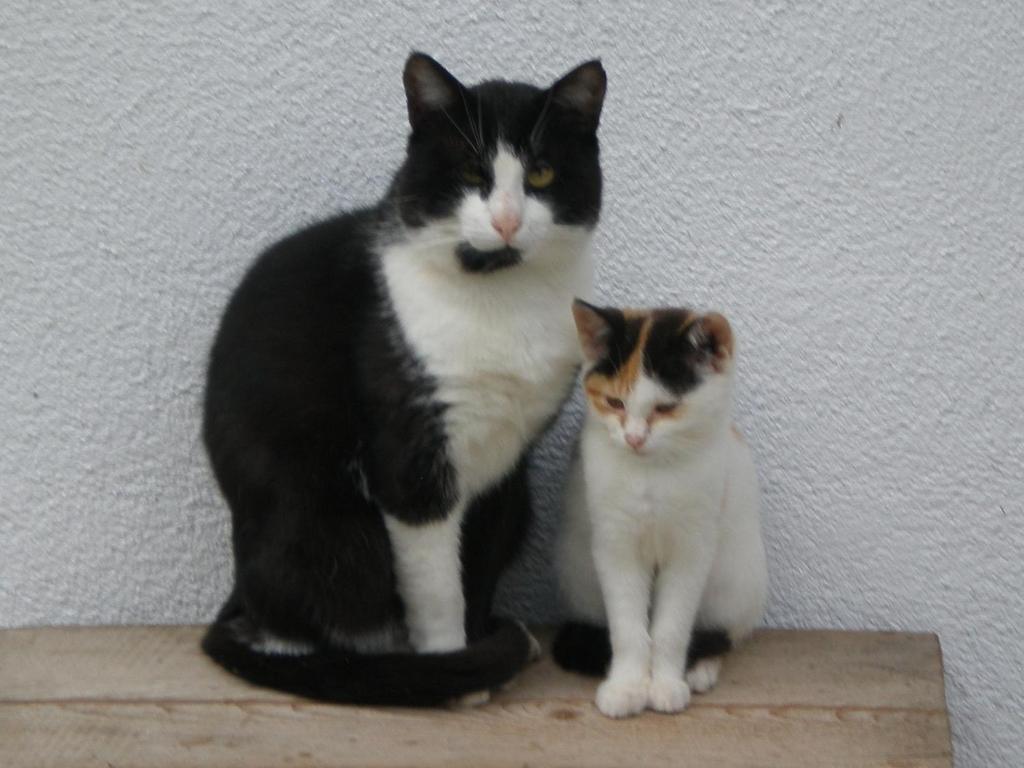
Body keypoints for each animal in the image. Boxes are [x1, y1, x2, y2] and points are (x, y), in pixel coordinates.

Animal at [201, 52, 606, 704]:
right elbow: (437, 585)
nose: (507, 219)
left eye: (542, 173)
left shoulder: (504, 466)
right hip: (325, 532)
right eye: (470, 170)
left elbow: (477, 563)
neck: (503, 294)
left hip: (522, 500)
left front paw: (477, 650)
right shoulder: (409, 456)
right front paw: (450, 671)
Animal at [557, 303, 765, 720]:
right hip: (578, 572)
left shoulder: (693, 546)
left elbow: (671, 627)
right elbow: (627, 626)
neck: (652, 473)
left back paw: (700, 669)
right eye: (615, 403)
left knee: (726, 633)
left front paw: (666, 684)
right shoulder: (614, 543)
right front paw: (626, 686)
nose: (634, 438)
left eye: (666, 408)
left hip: (736, 578)